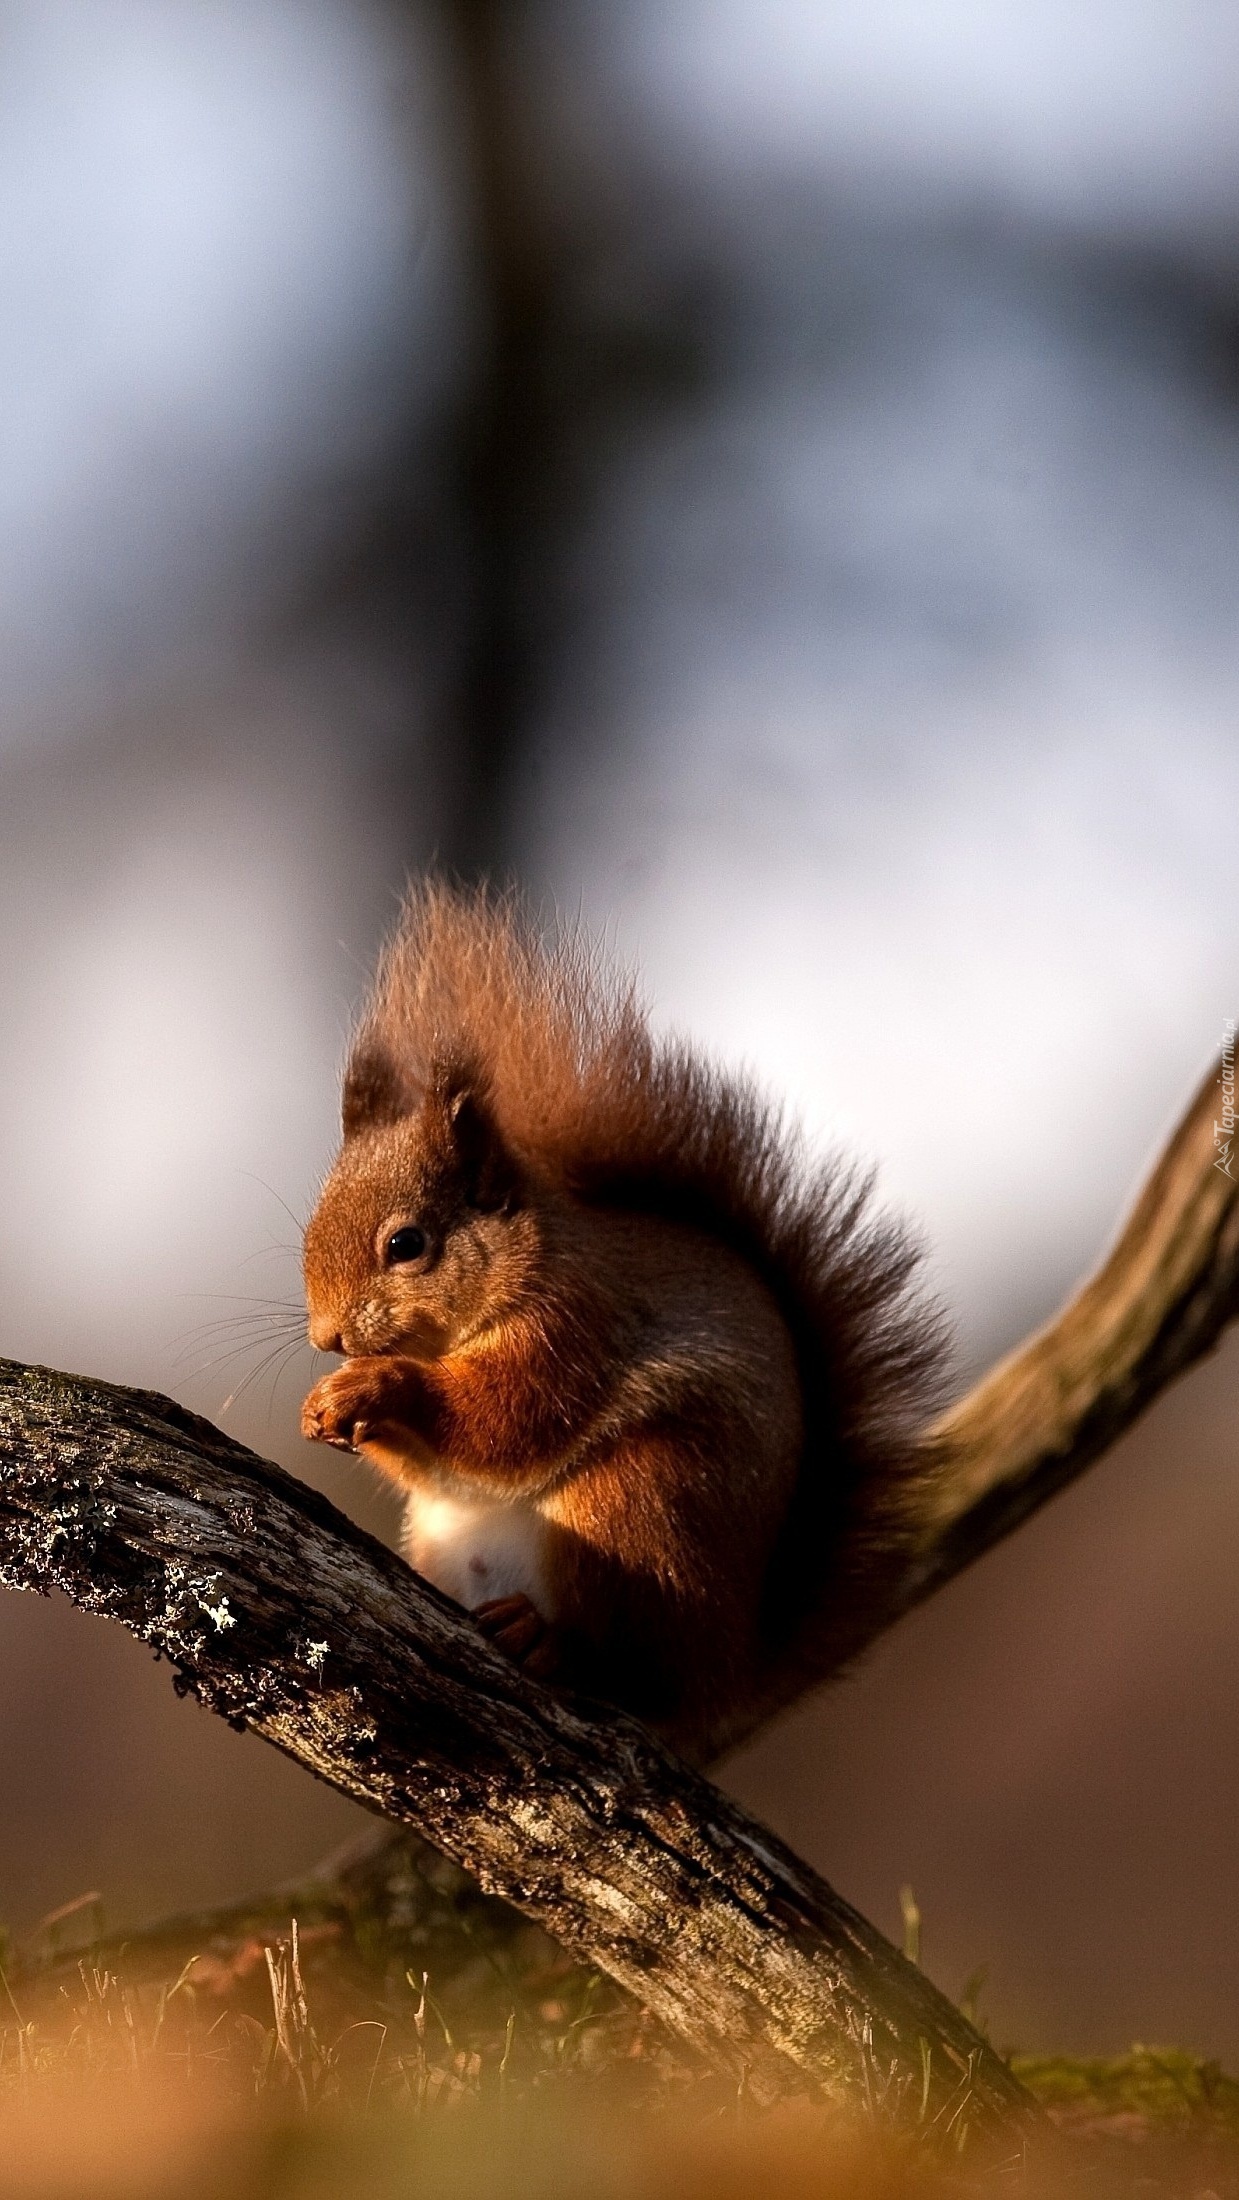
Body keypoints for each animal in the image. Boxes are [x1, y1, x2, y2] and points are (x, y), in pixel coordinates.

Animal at [301, 884, 941, 1760]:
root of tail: (725, 1672)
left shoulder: (574, 1326)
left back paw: (553, 1645)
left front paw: (379, 1385)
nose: (327, 1337)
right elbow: (443, 1470)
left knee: (630, 1670)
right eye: (310, 1224)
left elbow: (503, 1424)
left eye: (406, 1245)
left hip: (640, 1507)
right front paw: (327, 1405)